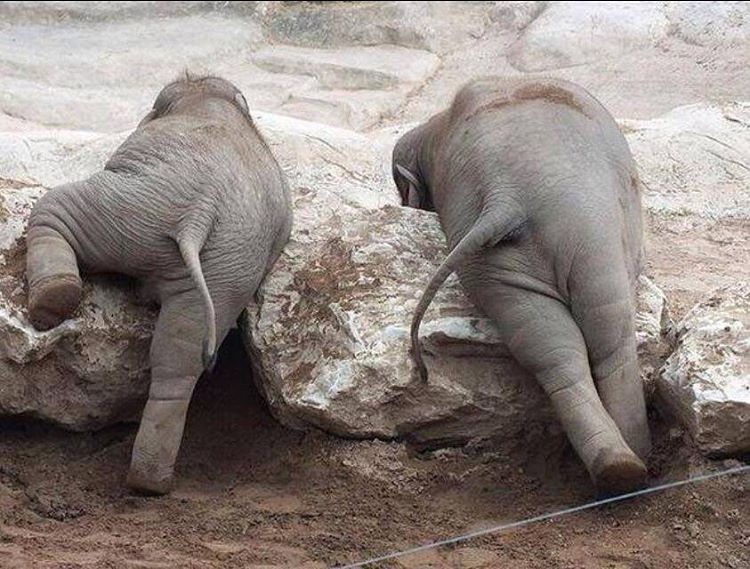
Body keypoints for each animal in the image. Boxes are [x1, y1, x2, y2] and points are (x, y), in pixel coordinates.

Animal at [25, 73, 293, 494]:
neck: (208, 97)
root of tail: (200, 214)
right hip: (230, 264)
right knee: (180, 354)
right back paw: (150, 482)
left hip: (129, 208)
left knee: (57, 207)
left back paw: (52, 302)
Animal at [392, 77, 650, 495]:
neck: (435, 128)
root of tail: (506, 197)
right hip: (583, 233)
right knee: (604, 331)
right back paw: (630, 462)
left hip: (518, 250)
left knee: (557, 343)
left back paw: (622, 464)